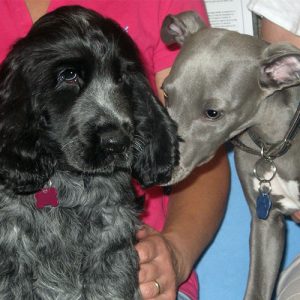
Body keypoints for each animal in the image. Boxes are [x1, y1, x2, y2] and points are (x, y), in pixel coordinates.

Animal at [0, 5, 178, 298]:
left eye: (121, 78)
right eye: (68, 75)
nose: (117, 142)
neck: (64, 178)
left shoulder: (111, 239)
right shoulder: (10, 246)